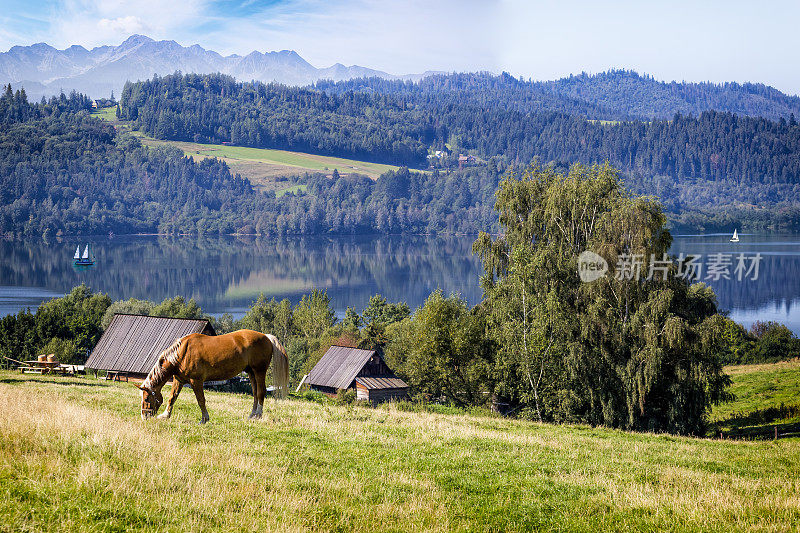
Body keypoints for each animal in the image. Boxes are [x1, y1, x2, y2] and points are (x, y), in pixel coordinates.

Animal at [139, 326, 290, 422]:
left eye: (146, 398)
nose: (144, 416)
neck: (182, 353)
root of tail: (266, 337)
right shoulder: (179, 379)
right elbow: (172, 397)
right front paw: (165, 415)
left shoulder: (196, 381)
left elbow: (201, 400)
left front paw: (204, 419)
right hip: (251, 372)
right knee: (255, 393)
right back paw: (252, 415)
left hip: (259, 371)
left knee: (261, 392)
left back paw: (258, 415)